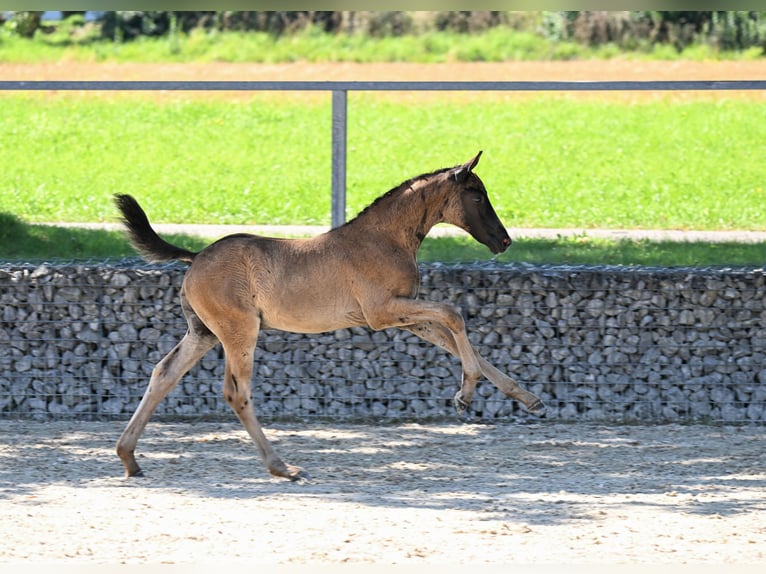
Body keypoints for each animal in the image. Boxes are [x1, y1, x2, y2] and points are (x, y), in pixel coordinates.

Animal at [113, 151, 545, 481]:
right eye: (477, 196)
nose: (504, 240)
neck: (384, 239)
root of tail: (195, 256)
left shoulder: (404, 314)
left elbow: (456, 339)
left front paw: (528, 399)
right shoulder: (382, 311)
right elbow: (455, 316)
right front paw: (465, 395)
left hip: (204, 333)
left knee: (163, 373)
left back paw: (129, 458)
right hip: (239, 331)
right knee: (236, 393)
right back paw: (282, 467)